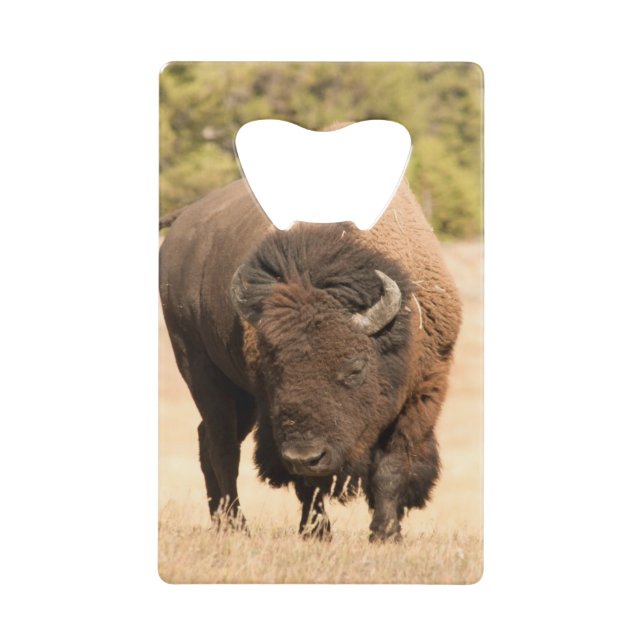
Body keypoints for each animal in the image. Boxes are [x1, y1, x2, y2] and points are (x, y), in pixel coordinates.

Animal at [159, 173, 462, 542]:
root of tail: (185, 220)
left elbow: (392, 467)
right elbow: (308, 483)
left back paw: (221, 522)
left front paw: (386, 534)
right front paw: (317, 533)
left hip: (240, 397)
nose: (305, 455)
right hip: (201, 369)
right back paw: (236, 526)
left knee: (208, 440)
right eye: (273, 370)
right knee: (223, 447)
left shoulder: (420, 395)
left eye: (354, 368)